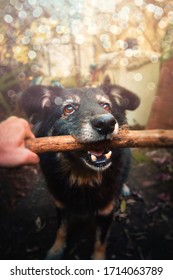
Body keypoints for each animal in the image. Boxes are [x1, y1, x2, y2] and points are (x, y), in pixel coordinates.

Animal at [20, 83, 139, 260]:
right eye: (68, 108)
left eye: (106, 106)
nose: (106, 123)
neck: (83, 179)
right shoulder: (61, 204)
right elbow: (61, 230)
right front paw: (56, 250)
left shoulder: (106, 211)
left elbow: (100, 241)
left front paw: (98, 258)